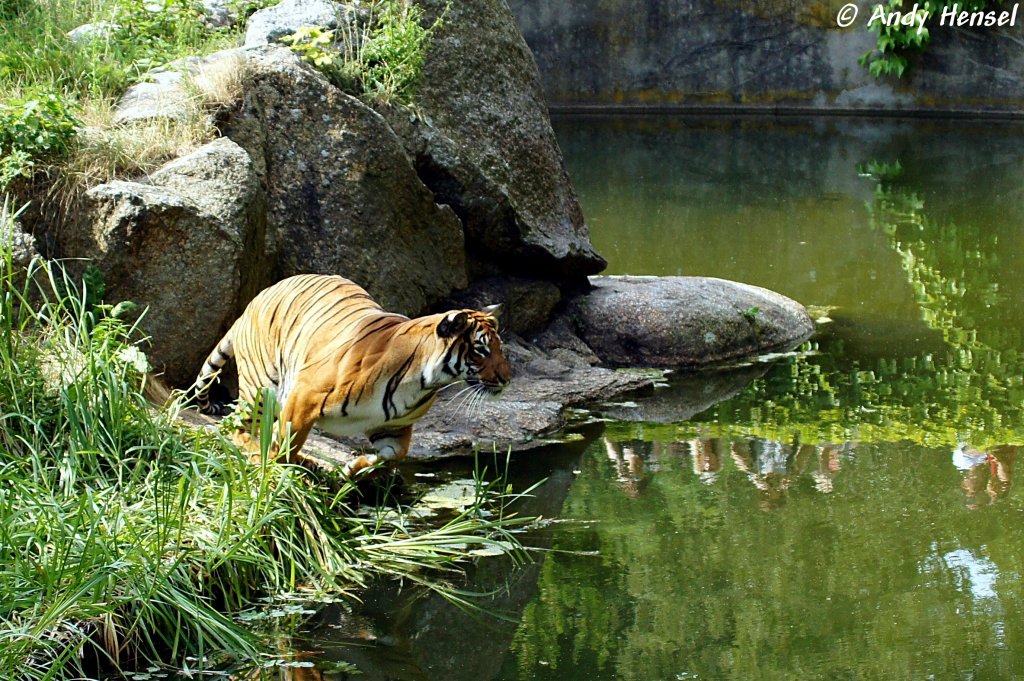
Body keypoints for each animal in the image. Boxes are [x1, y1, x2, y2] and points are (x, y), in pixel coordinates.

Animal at [190, 274, 509, 475]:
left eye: (499, 348)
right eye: (480, 350)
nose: (507, 379)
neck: (422, 382)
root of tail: (253, 302)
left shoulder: (393, 426)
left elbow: (394, 455)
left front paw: (352, 469)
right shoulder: (304, 396)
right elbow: (288, 442)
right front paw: (280, 470)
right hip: (261, 385)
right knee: (238, 427)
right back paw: (259, 452)